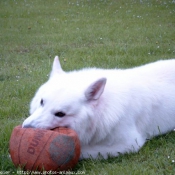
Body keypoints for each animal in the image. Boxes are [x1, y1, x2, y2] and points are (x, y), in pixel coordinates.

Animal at [22, 56, 175, 160]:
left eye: (60, 114)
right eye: (42, 102)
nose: (26, 129)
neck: (101, 108)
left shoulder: (129, 143)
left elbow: (80, 150)